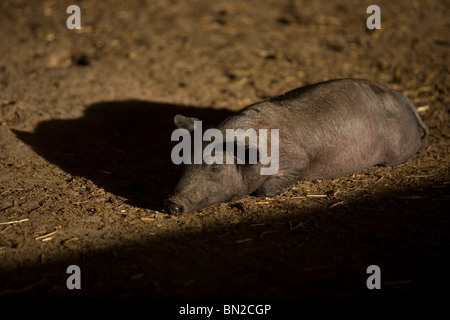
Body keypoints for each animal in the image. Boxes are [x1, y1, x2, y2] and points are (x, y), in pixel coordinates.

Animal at [165, 78, 428, 214]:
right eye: (185, 163)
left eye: (215, 168)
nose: (172, 204)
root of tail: (403, 97)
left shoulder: (297, 161)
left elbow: (264, 189)